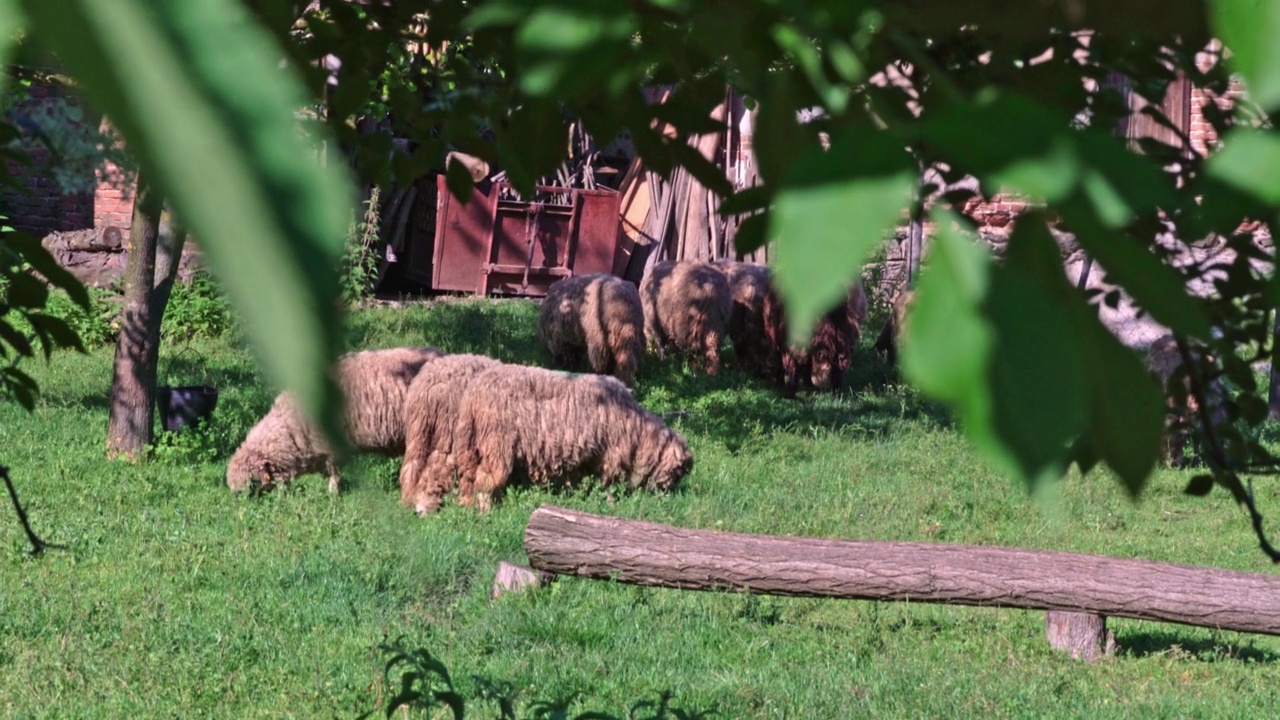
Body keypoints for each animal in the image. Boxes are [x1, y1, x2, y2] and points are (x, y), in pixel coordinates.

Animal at [396, 351, 501, 512]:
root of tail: (425, 387)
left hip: (418, 431)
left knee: (412, 465)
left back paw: (410, 501)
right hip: (447, 431)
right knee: (437, 467)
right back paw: (428, 505)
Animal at [448, 363, 691, 509]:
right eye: (677, 471)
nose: (667, 497)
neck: (638, 431)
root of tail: (473, 395)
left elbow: (576, 479)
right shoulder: (611, 455)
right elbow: (608, 482)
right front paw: (611, 503)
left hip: (471, 445)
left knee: (469, 478)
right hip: (496, 444)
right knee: (485, 479)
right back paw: (486, 509)